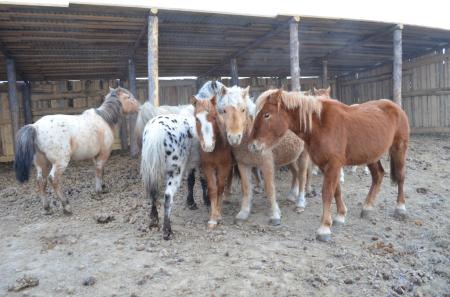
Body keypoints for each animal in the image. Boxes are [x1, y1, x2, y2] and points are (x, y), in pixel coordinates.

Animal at [14, 86, 140, 214]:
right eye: (128, 97)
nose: (139, 106)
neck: (104, 119)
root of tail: (35, 127)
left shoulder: (95, 155)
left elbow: (100, 170)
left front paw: (103, 187)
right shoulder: (104, 153)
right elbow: (99, 170)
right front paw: (99, 191)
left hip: (41, 163)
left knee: (41, 181)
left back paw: (47, 207)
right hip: (60, 162)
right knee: (53, 179)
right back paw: (66, 206)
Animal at [250, 89, 412, 242]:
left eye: (266, 115)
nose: (253, 146)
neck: (320, 125)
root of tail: (396, 107)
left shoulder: (333, 164)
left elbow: (327, 193)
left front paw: (324, 228)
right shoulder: (326, 165)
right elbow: (336, 190)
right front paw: (340, 216)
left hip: (399, 148)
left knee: (401, 177)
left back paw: (400, 208)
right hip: (371, 156)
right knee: (378, 175)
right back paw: (367, 207)